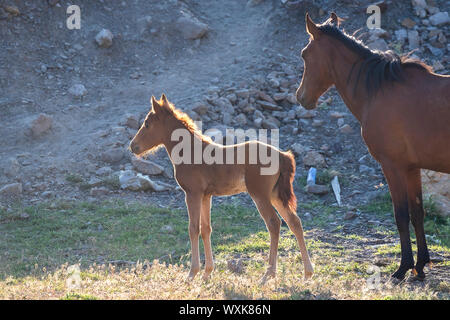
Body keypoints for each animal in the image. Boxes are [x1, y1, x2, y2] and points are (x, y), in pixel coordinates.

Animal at [130, 94, 312, 282]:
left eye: (147, 124)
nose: (133, 146)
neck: (190, 152)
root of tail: (282, 155)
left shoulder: (192, 194)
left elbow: (193, 229)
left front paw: (192, 273)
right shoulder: (206, 196)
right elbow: (206, 229)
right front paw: (207, 272)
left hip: (260, 195)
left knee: (274, 223)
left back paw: (268, 274)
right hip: (275, 195)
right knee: (294, 222)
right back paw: (307, 273)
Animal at [296, 12, 450, 282]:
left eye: (305, 54)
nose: (301, 96)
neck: (379, 91)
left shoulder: (393, 166)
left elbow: (401, 215)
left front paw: (402, 268)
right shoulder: (412, 168)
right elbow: (417, 214)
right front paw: (420, 266)